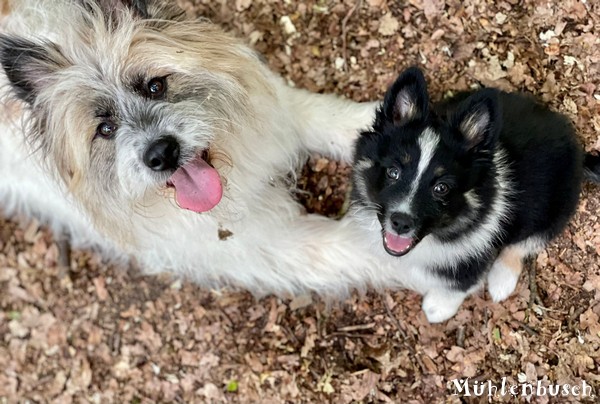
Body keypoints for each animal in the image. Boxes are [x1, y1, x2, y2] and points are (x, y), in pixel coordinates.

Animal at [352, 68, 600, 324]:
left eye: (442, 187)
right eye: (393, 172)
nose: (401, 223)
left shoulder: (474, 254)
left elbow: (460, 283)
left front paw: (439, 306)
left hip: (553, 207)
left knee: (525, 243)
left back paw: (502, 280)